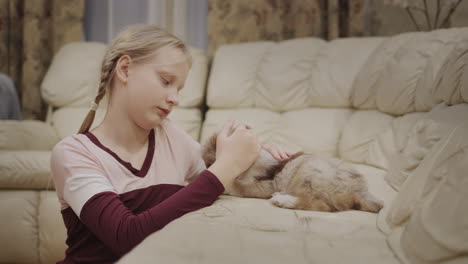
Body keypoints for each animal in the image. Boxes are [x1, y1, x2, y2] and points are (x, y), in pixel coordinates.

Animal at [201, 125, 384, 212]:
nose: (206, 167)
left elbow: (237, 186)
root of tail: (360, 192)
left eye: (211, 161)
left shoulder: (262, 185)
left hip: (309, 172)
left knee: (318, 204)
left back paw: (283, 200)